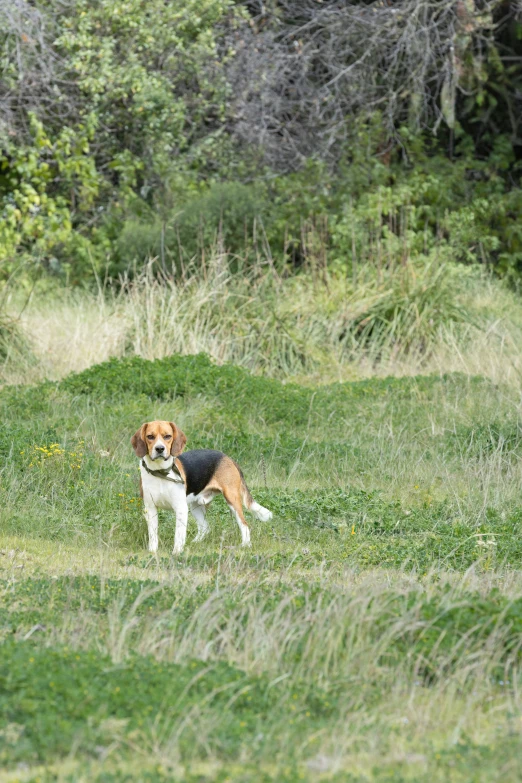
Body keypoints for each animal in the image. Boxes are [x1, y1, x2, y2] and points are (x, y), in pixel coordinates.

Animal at [130, 420, 272, 556]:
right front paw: (152, 552)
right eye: (150, 436)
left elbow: (179, 535)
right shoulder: (150, 509)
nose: (160, 448)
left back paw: (245, 545)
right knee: (205, 527)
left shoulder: (180, 509)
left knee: (244, 525)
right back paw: (195, 542)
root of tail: (228, 458)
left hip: (232, 500)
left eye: (167, 436)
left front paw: (177, 552)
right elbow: (153, 535)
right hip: (195, 506)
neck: (161, 472)